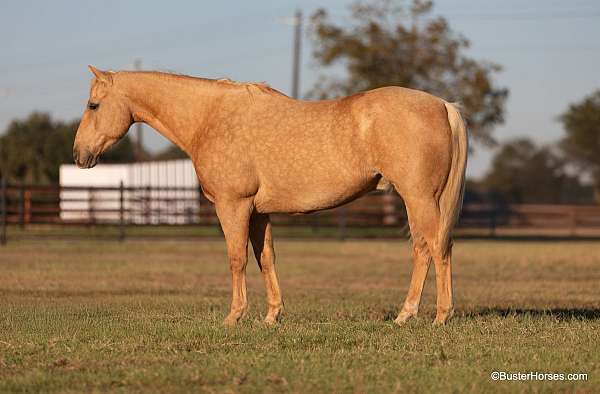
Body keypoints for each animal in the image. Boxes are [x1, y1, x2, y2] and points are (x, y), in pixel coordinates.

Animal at [74, 66, 468, 326]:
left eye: (93, 105)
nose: (79, 155)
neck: (209, 118)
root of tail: (442, 105)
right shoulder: (258, 212)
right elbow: (266, 258)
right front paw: (272, 316)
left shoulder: (233, 206)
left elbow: (237, 259)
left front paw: (234, 317)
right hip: (416, 200)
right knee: (424, 248)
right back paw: (406, 315)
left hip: (418, 198)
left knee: (436, 247)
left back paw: (437, 317)